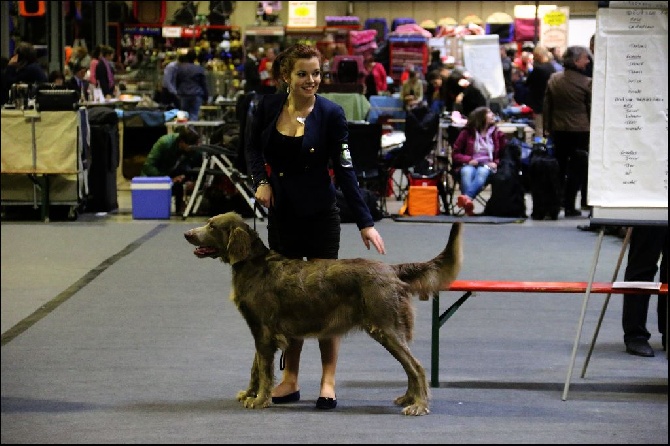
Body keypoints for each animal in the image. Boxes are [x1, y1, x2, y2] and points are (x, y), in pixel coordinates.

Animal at [186, 213, 464, 414]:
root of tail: (391, 269)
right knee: (410, 367)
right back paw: (408, 398)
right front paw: (249, 394)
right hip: (388, 330)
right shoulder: (258, 330)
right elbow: (255, 367)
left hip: (386, 327)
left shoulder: (264, 332)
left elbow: (263, 370)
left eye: (212, 226)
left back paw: (419, 405)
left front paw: (259, 400)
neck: (254, 265)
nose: (187, 233)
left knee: (416, 367)